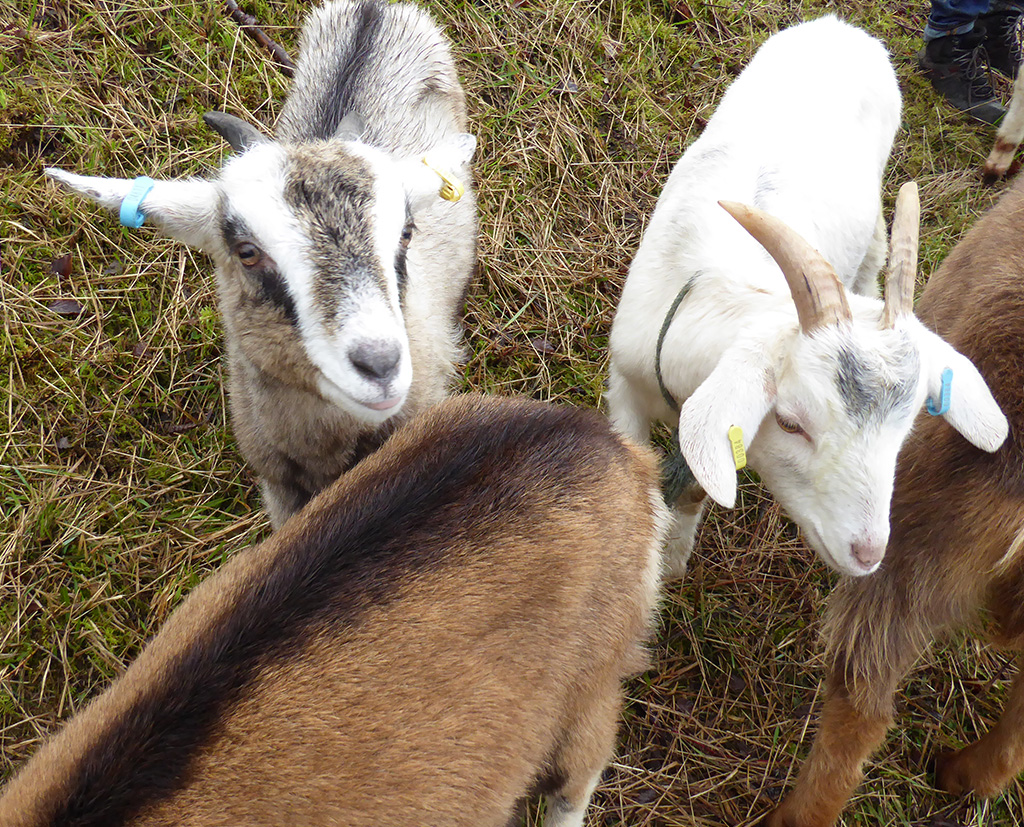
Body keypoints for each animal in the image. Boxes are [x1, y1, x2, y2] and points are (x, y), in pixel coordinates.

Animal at [607, 15, 1008, 580]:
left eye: (907, 427)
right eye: (790, 422)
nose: (868, 554)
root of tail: (840, 25)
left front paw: (673, 561)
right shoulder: (623, 384)